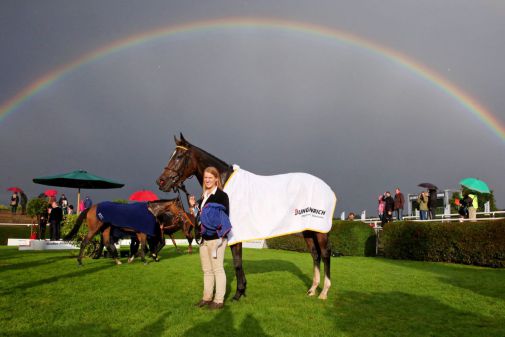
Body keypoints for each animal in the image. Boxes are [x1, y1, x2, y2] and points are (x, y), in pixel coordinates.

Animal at [64, 197, 194, 266]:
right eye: (179, 206)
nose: (184, 216)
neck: (151, 211)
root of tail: (91, 208)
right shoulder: (143, 233)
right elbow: (143, 246)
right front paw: (144, 259)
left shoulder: (139, 233)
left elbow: (141, 246)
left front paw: (142, 257)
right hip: (94, 229)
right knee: (85, 242)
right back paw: (80, 261)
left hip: (106, 228)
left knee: (106, 242)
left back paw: (117, 261)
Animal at [156, 133, 332, 298]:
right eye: (172, 154)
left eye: (179, 156)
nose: (161, 182)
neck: (223, 183)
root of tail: (325, 187)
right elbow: (236, 261)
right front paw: (242, 289)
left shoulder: (235, 232)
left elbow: (237, 262)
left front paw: (238, 292)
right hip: (308, 230)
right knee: (315, 254)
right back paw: (312, 289)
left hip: (320, 230)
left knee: (325, 253)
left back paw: (324, 292)